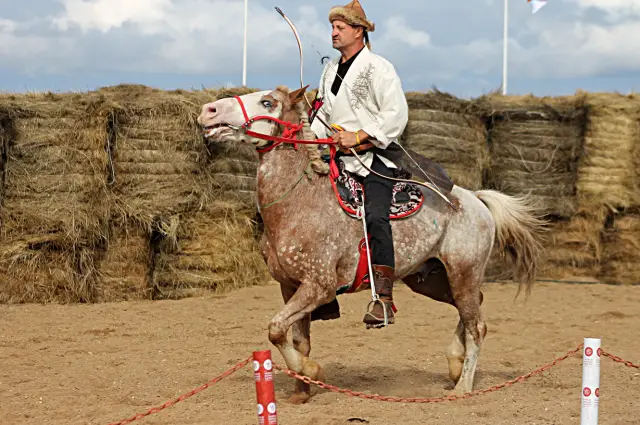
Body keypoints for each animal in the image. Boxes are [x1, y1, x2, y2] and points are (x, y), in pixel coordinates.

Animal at [196, 84, 544, 402]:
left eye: (267, 102)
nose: (208, 110)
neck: (297, 202)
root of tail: (475, 199)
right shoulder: (290, 286)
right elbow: (296, 340)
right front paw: (301, 392)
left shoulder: (319, 285)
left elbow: (276, 328)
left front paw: (311, 371)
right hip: (430, 279)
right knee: (471, 307)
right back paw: (455, 365)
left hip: (464, 273)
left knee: (477, 326)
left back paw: (463, 386)